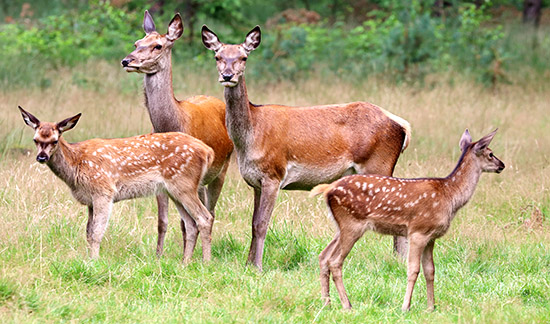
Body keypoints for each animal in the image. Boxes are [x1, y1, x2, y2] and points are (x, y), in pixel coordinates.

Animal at [17, 107, 216, 264]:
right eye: (35, 139)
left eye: (55, 140)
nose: (41, 157)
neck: (76, 165)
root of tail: (208, 151)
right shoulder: (90, 200)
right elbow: (88, 233)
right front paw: (89, 259)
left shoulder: (104, 191)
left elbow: (97, 233)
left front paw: (94, 262)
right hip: (174, 190)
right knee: (191, 224)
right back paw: (185, 262)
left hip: (184, 184)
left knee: (205, 218)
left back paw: (206, 262)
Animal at [122, 10, 234, 256]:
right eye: (136, 43)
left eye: (158, 46)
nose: (127, 60)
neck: (173, 122)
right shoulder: (161, 180)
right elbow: (162, 221)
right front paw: (158, 256)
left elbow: (186, 222)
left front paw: (186, 256)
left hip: (222, 168)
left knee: (211, 212)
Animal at [203, 25, 414, 270]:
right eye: (217, 56)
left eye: (243, 57)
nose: (227, 75)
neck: (250, 138)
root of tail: (402, 125)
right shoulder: (256, 181)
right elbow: (253, 223)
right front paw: (248, 265)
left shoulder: (274, 174)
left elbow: (261, 224)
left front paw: (258, 267)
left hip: (378, 164)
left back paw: (400, 261)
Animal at [310, 128, 504, 310]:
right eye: (490, 153)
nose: (502, 165)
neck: (450, 196)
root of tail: (328, 188)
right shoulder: (418, 231)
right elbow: (413, 269)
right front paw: (406, 306)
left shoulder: (431, 237)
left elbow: (430, 270)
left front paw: (431, 307)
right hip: (352, 224)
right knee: (335, 261)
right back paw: (347, 305)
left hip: (341, 226)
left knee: (323, 256)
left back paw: (327, 303)